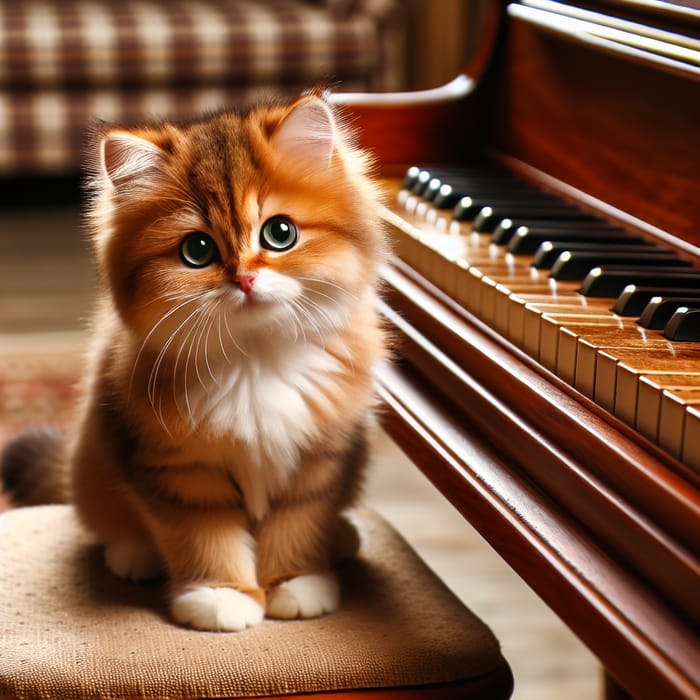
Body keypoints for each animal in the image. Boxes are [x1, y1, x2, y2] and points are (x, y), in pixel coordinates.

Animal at [1, 90, 388, 632]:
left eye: (280, 234)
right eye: (198, 249)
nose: (244, 279)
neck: (256, 360)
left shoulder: (320, 459)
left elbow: (299, 523)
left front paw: (297, 580)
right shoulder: (175, 468)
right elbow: (205, 537)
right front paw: (222, 595)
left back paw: (343, 538)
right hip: (93, 458)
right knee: (108, 523)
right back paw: (134, 554)